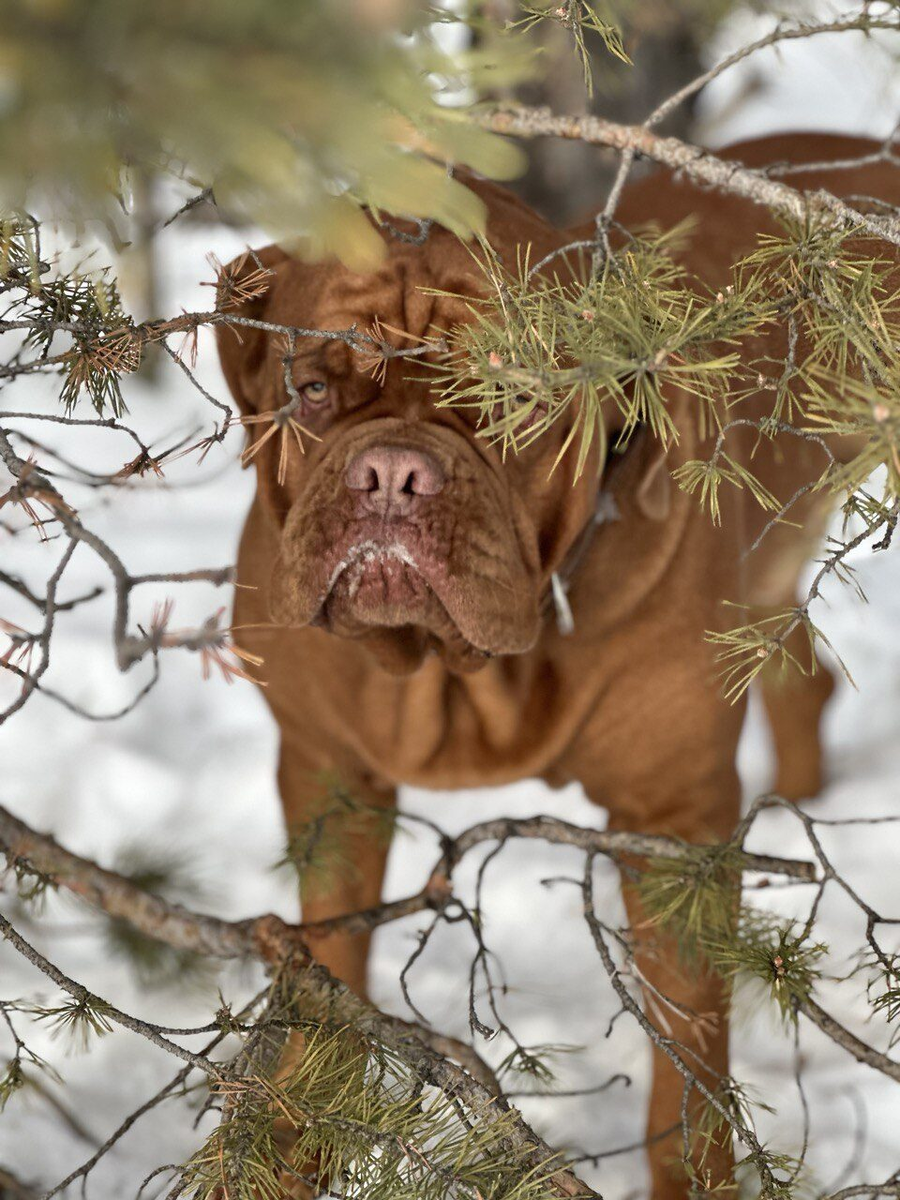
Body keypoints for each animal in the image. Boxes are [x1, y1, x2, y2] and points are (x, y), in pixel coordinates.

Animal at [217, 136, 897, 1195]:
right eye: (315, 388)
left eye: (509, 394)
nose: (392, 474)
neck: (461, 677)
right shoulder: (330, 780)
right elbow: (327, 982)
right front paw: (291, 1144)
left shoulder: (673, 824)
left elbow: (688, 1064)